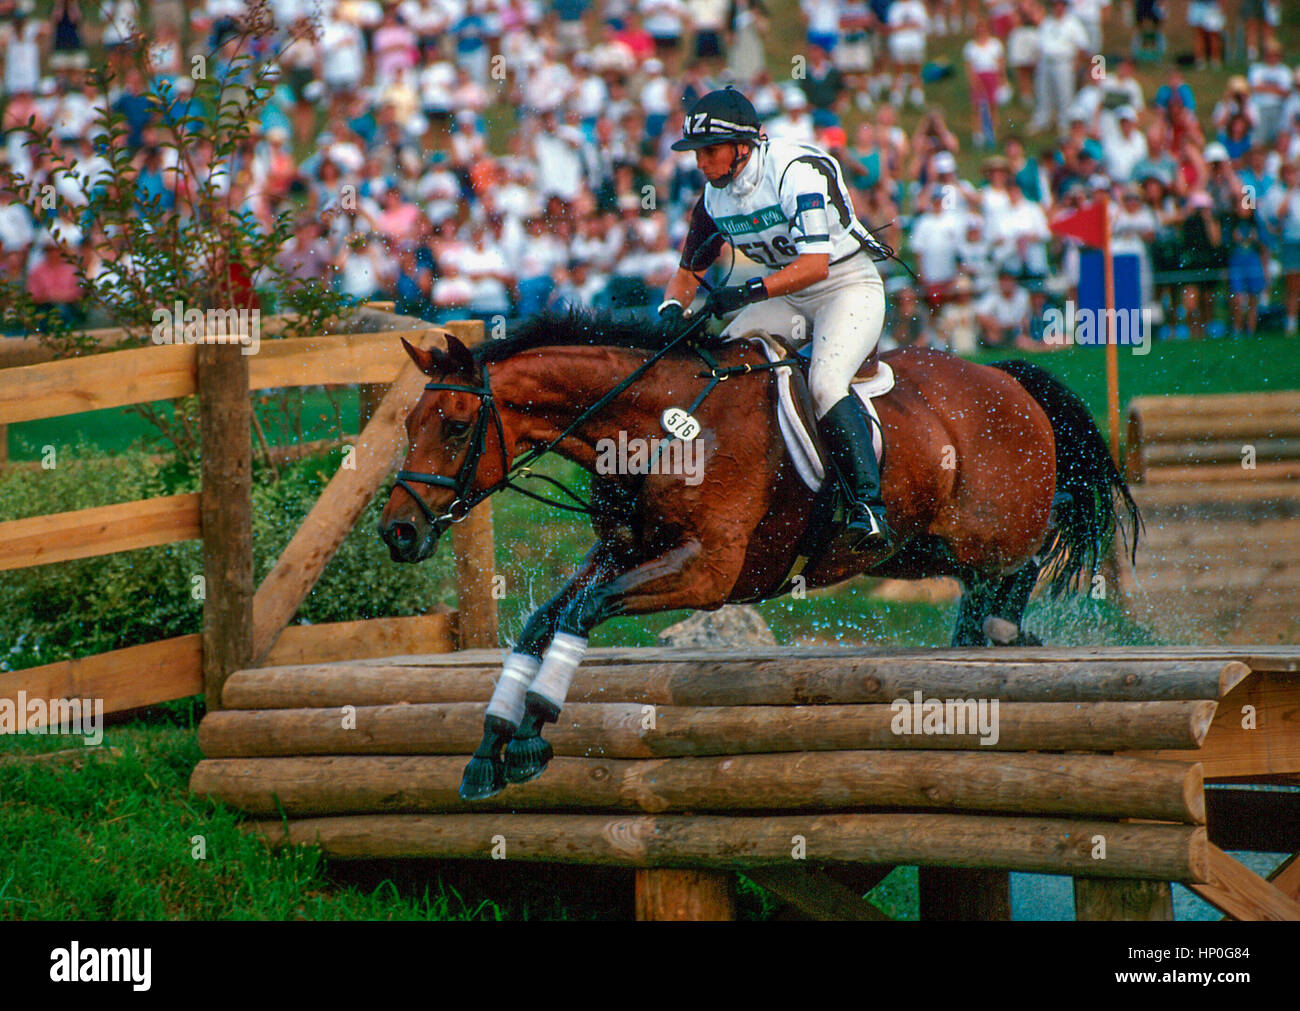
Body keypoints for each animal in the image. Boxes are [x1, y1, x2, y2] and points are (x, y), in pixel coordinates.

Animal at [377, 306, 1138, 795]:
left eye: (454, 425)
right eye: (409, 422)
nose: (397, 532)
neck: (659, 426)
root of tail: (1007, 379)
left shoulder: (709, 570)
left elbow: (577, 615)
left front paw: (533, 733)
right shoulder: (622, 553)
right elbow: (543, 619)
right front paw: (490, 744)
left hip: (990, 531)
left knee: (1031, 554)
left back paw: (1004, 629)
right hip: (921, 549)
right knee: (987, 583)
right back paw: (984, 633)